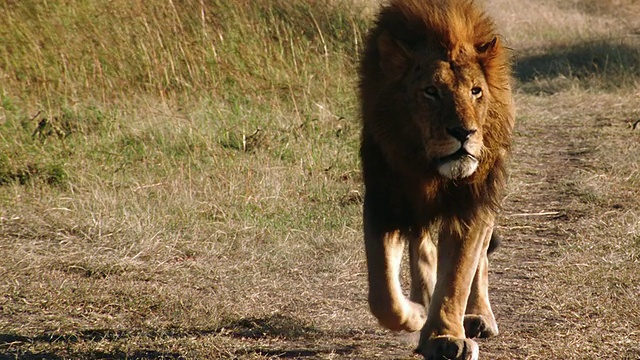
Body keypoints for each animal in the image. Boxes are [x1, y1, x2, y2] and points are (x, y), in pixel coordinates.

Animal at [360, 0, 516, 360]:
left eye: (476, 92)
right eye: (431, 92)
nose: (464, 133)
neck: (427, 169)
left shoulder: (471, 203)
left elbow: (458, 275)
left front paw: (444, 337)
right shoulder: (385, 199)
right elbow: (382, 292)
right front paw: (417, 314)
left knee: (479, 262)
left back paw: (477, 316)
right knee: (422, 246)